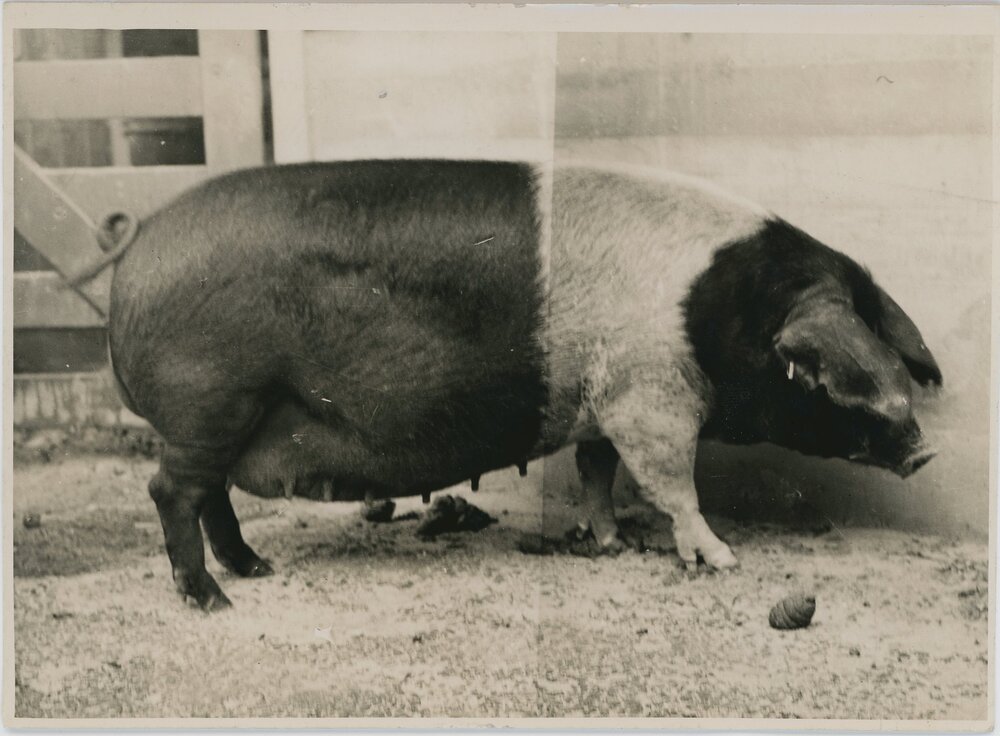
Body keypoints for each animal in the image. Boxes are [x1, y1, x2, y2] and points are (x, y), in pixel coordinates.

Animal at [101, 160, 940, 610]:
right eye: (829, 379)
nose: (926, 452)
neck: (717, 311)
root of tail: (136, 251)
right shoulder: (651, 398)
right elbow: (673, 483)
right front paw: (722, 560)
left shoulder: (603, 407)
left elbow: (597, 471)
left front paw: (609, 541)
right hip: (210, 403)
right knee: (170, 491)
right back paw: (214, 599)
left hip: (221, 420)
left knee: (208, 496)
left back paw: (254, 569)